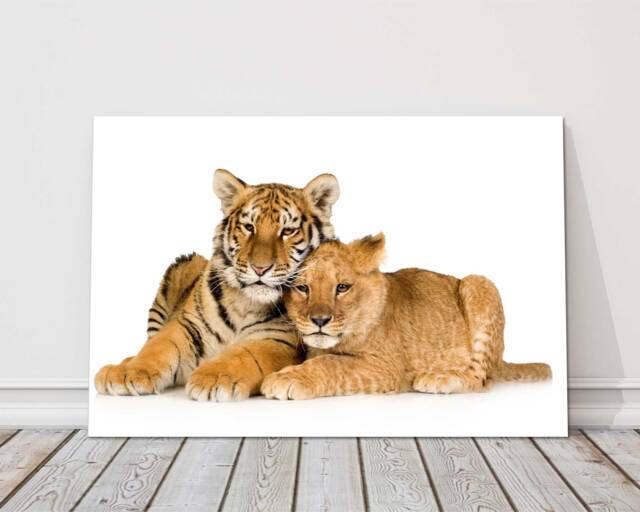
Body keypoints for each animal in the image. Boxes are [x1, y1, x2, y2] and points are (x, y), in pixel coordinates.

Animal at [94, 169, 339, 401]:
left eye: (288, 231)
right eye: (249, 227)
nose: (260, 268)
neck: (245, 302)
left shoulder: (278, 340)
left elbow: (245, 354)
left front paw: (214, 378)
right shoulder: (186, 325)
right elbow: (158, 346)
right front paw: (129, 372)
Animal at [261, 233, 552, 400]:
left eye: (342, 287)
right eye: (302, 288)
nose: (319, 321)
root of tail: (502, 360)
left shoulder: (386, 367)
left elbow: (332, 363)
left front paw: (286, 379)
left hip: (478, 283)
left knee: (481, 380)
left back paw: (439, 378)